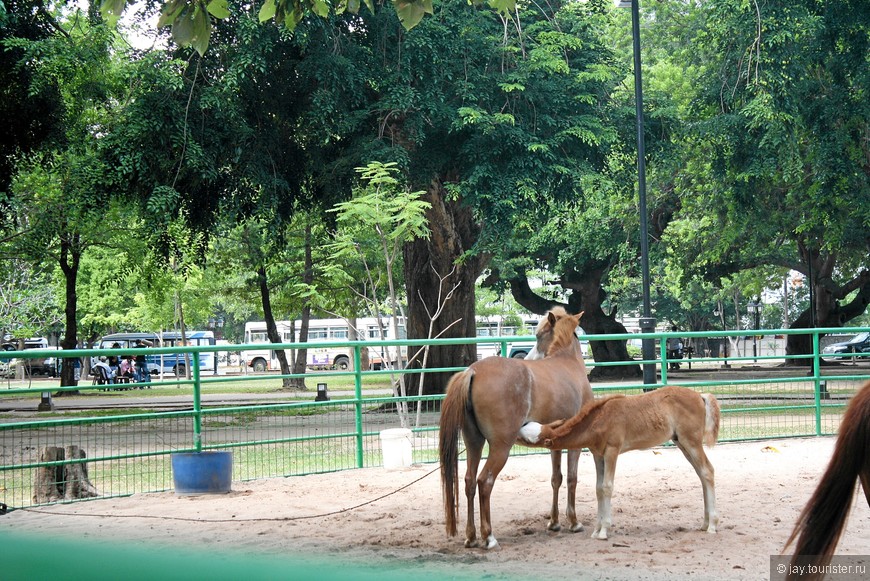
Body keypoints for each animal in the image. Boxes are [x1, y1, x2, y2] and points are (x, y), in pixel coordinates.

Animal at [440, 308, 596, 548]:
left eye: (539, 335)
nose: (528, 357)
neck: (568, 362)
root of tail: (473, 371)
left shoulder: (556, 443)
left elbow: (556, 479)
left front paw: (554, 522)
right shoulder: (575, 443)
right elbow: (572, 478)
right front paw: (574, 522)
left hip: (474, 442)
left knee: (469, 482)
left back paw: (471, 536)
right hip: (500, 447)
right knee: (485, 481)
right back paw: (489, 537)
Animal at [520, 386, 720, 540]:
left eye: (526, 437)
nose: (520, 424)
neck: (599, 419)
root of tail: (700, 396)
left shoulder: (612, 450)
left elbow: (607, 487)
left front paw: (604, 531)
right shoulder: (598, 455)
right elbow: (598, 489)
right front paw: (596, 530)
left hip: (691, 441)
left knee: (708, 470)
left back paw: (712, 525)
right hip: (681, 442)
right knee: (702, 474)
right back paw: (705, 523)